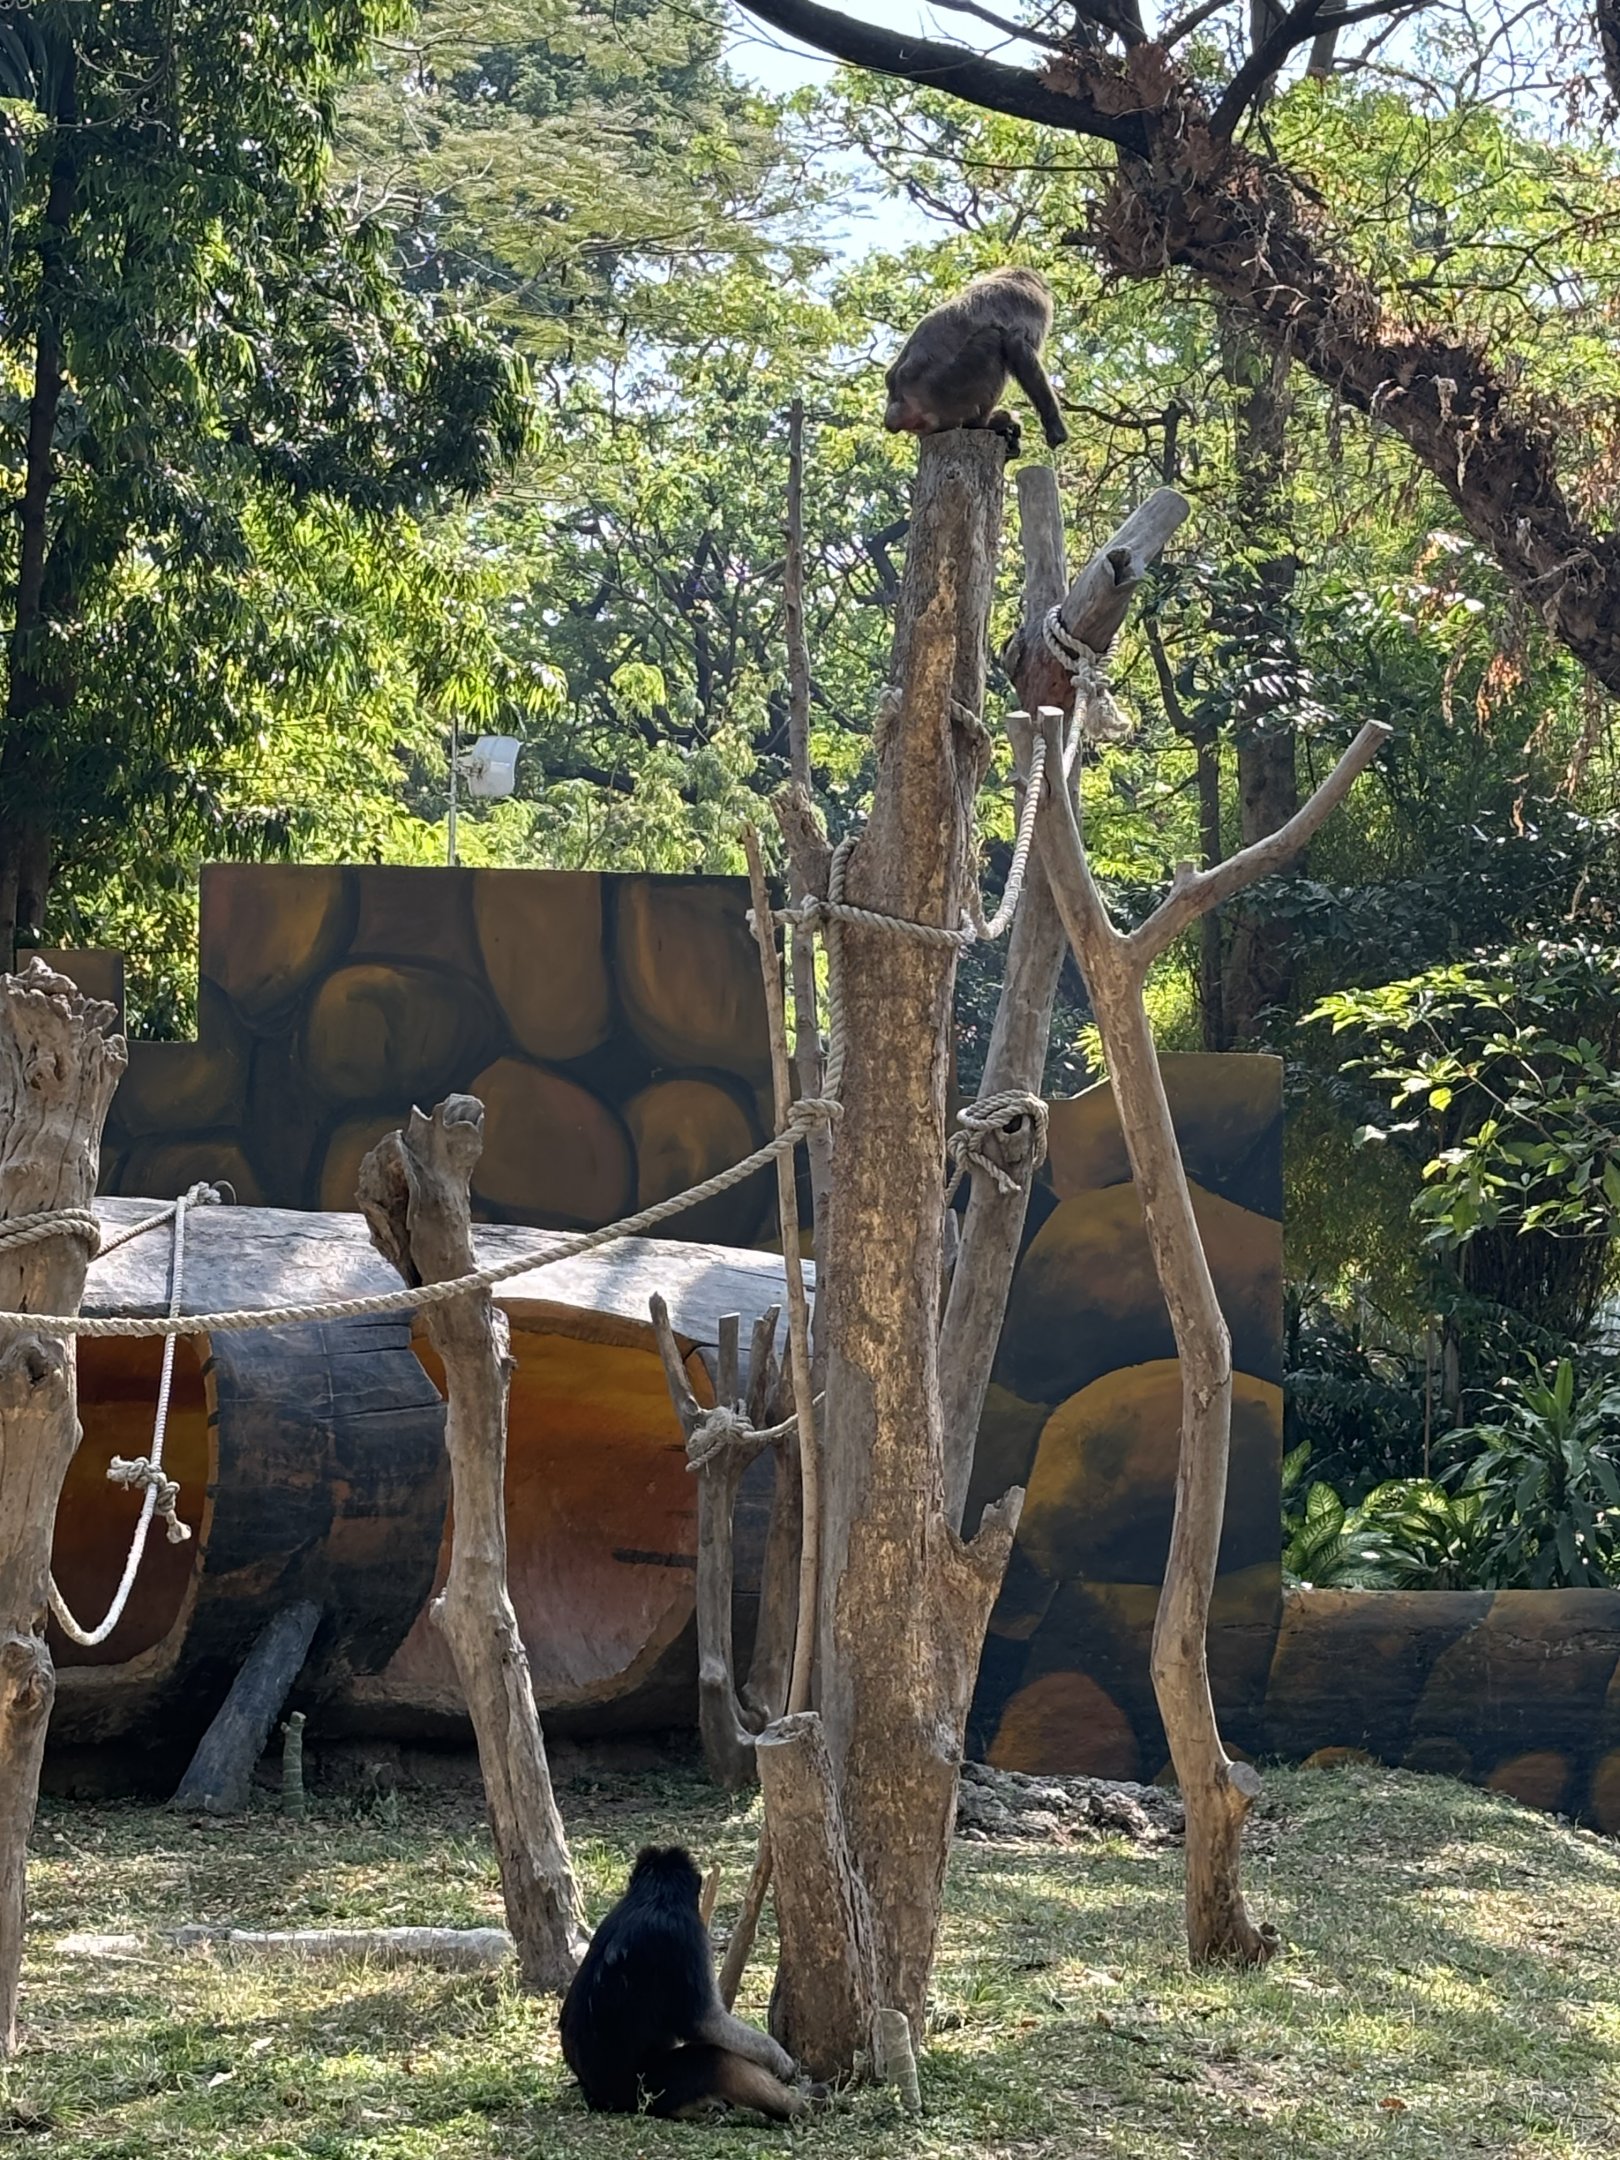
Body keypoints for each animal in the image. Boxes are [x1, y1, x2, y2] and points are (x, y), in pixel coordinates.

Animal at [559, 1845, 806, 2121]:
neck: (655, 1897)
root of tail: (597, 2097)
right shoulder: (687, 1935)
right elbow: (706, 2021)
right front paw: (778, 2058)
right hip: (648, 2088)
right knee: (718, 2061)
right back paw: (800, 2105)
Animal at [883, 267, 1069, 458]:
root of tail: (897, 409)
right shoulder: (1034, 303)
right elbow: (1016, 346)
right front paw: (1055, 426)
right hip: (946, 394)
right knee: (991, 339)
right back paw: (983, 424)